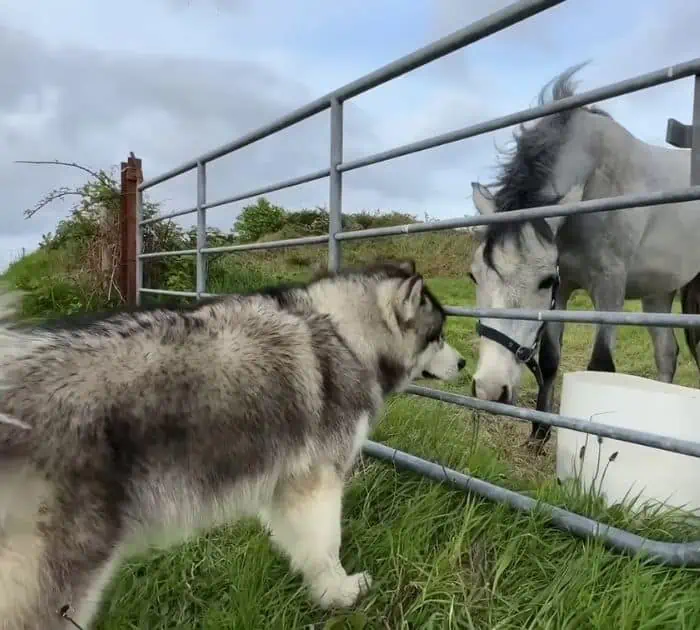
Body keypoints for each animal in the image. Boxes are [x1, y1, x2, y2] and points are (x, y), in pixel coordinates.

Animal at [1, 262, 470, 630]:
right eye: (438, 336)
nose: (465, 363)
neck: (346, 335)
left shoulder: (286, 484)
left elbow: (302, 545)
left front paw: (321, 589)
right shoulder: (317, 482)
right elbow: (327, 545)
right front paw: (340, 594)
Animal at [470, 64, 700, 446]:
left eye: (543, 281)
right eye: (474, 276)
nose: (490, 388)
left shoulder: (608, 288)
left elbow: (601, 367)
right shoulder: (564, 291)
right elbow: (550, 360)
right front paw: (540, 432)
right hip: (658, 294)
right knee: (667, 355)